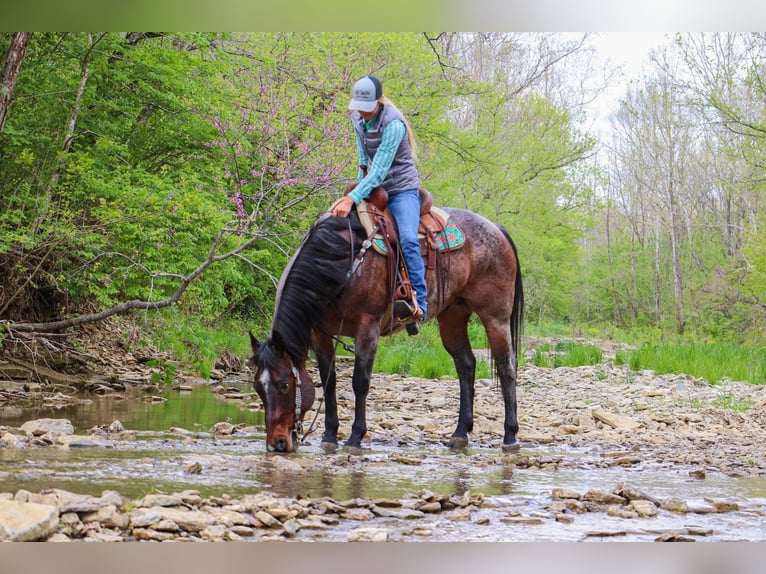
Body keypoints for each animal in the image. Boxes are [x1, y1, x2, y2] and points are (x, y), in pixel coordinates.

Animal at [249, 205, 524, 456]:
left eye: (284, 384)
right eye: (258, 388)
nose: (277, 444)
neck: (339, 265)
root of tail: (495, 228)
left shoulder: (367, 328)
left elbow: (360, 381)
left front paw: (355, 437)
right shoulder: (320, 334)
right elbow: (328, 382)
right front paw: (329, 436)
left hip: (495, 317)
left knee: (506, 367)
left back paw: (510, 436)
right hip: (453, 316)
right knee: (466, 366)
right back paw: (459, 434)